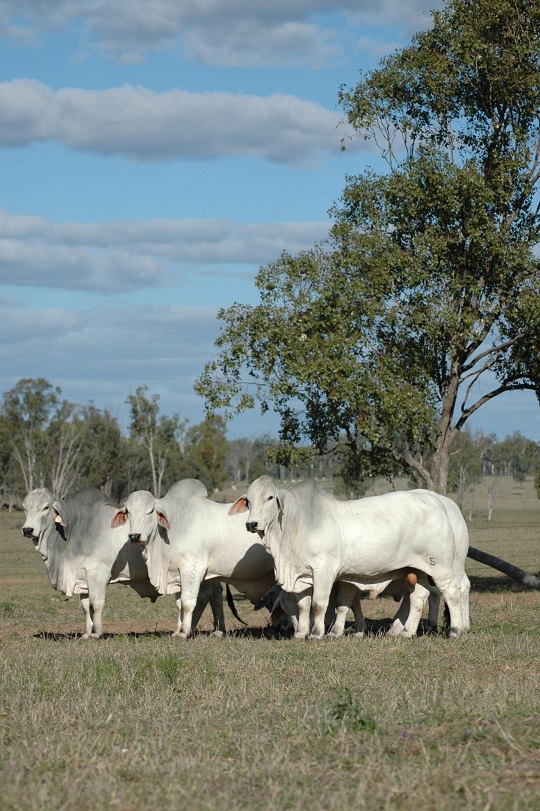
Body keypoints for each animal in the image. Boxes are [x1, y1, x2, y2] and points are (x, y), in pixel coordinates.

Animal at [22, 486, 226, 636]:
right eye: (25, 508)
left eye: (45, 507)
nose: (27, 530)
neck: (75, 528)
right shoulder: (82, 578)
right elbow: (85, 607)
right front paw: (86, 633)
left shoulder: (97, 574)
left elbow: (96, 603)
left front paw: (97, 633)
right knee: (214, 595)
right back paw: (215, 630)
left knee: (203, 597)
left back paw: (191, 629)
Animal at [111, 478, 276, 636]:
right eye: (128, 512)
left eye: (150, 511)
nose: (134, 536)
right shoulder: (177, 573)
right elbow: (179, 604)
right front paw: (177, 631)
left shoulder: (192, 568)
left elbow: (187, 602)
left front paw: (184, 632)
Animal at [230, 476, 470, 640]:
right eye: (249, 501)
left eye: (270, 497)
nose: (252, 524)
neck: (297, 524)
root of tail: (435, 501)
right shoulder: (302, 575)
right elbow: (304, 605)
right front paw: (301, 633)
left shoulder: (324, 571)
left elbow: (319, 604)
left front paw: (317, 634)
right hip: (417, 569)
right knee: (419, 596)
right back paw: (407, 632)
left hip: (441, 566)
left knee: (452, 591)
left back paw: (457, 630)